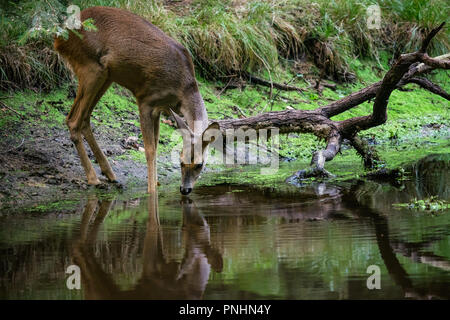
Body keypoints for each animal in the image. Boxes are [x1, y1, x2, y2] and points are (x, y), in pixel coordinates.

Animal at [54, 6, 218, 194]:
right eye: (181, 161)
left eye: (200, 165)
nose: (185, 189)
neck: (182, 89)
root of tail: (59, 37)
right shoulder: (146, 99)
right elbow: (150, 150)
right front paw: (152, 191)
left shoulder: (160, 108)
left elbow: (156, 145)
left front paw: (156, 184)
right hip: (91, 68)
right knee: (73, 120)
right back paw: (93, 178)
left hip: (106, 76)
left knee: (84, 118)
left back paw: (110, 174)